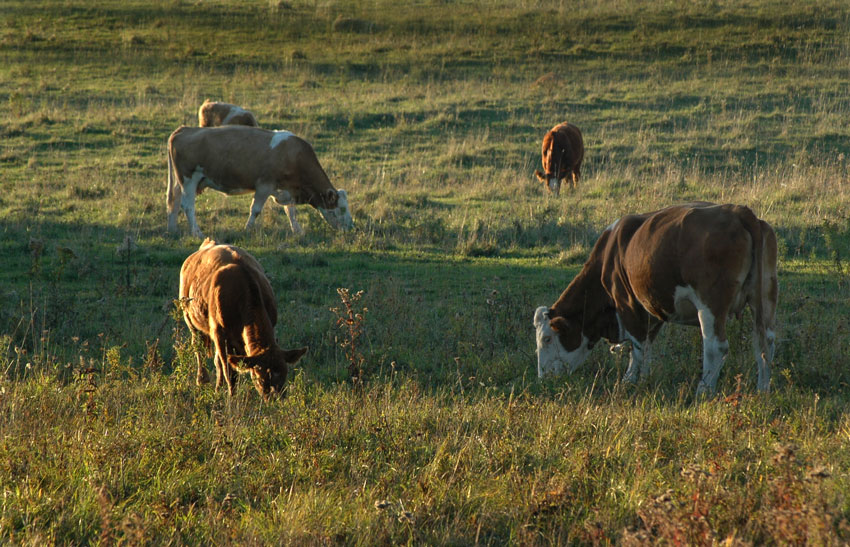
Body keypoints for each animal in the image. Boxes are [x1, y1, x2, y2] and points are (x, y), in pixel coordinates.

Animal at [166, 126, 352, 238]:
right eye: (341, 209)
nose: (352, 227)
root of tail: (183, 129)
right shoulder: (264, 185)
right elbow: (255, 210)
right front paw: (247, 229)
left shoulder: (286, 190)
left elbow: (290, 211)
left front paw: (297, 230)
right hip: (189, 179)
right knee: (188, 205)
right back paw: (197, 232)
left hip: (181, 182)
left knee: (175, 201)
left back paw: (173, 228)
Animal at [179, 238, 308, 400]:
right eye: (259, 378)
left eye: (284, 373)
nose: (275, 398)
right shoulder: (220, 334)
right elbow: (230, 372)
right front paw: (231, 398)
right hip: (191, 321)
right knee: (199, 349)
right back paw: (202, 381)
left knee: (216, 359)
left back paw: (217, 388)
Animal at [532, 203, 780, 396]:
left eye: (546, 339)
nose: (544, 379)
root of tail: (738, 211)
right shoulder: (653, 308)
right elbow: (646, 344)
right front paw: (641, 377)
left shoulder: (627, 304)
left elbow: (638, 347)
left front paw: (633, 380)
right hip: (765, 296)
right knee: (765, 341)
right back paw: (763, 389)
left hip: (711, 303)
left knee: (715, 346)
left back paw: (703, 390)